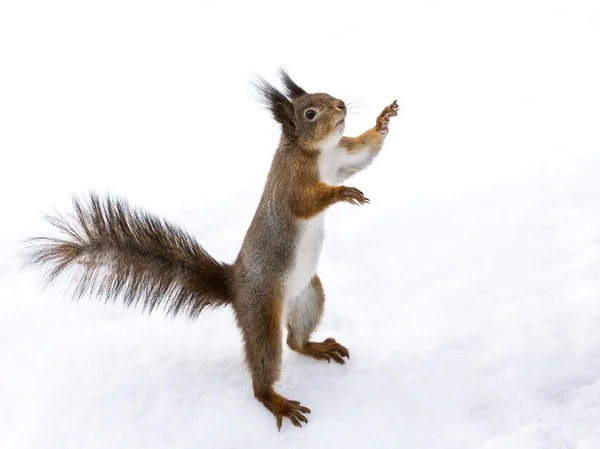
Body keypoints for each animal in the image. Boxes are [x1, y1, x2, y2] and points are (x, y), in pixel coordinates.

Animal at [23, 70, 398, 430]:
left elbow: (362, 154)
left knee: (296, 342)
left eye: (327, 93)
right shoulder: (292, 183)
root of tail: (234, 286)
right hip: (261, 315)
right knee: (265, 366)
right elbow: (306, 202)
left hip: (309, 295)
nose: (340, 105)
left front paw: (383, 120)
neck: (317, 153)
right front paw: (342, 193)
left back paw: (316, 347)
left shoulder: (341, 158)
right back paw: (276, 400)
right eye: (310, 113)